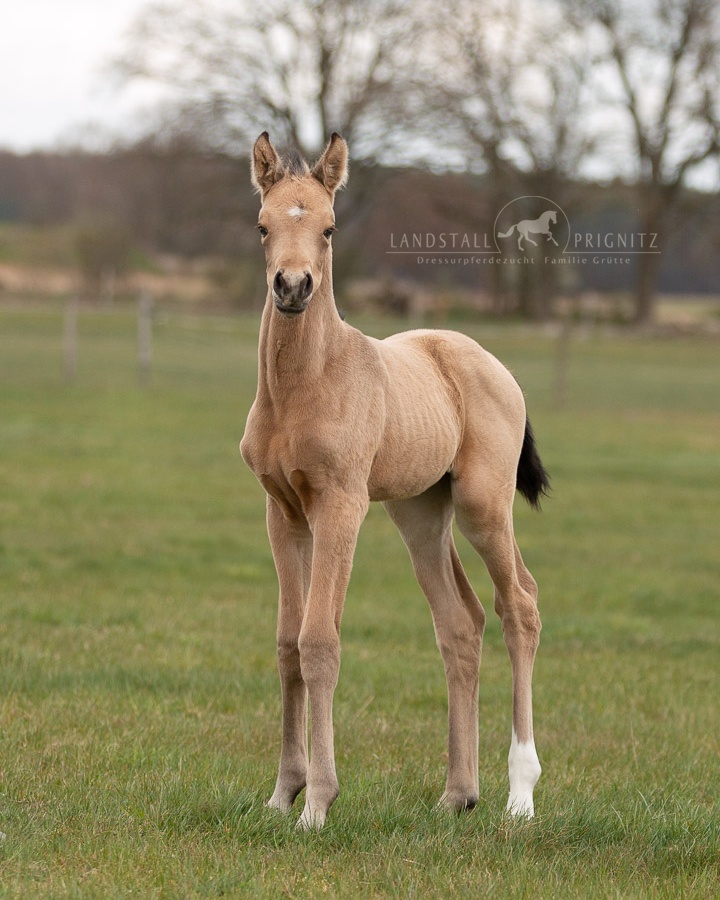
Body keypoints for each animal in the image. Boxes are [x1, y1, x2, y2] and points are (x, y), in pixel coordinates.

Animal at [240, 132, 550, 830]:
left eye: (328, 228)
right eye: (263, 225)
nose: (292, 287)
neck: (305, 386)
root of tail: (495, 365)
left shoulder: (340, 507)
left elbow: (319, 642)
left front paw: (318, 803)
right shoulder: (282, 513)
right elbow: (286, 645)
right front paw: (282, 793)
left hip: (483, 506)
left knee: (519, 605)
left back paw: (520, 796)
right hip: (420, 515)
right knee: (460, 623)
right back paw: (458, 794)